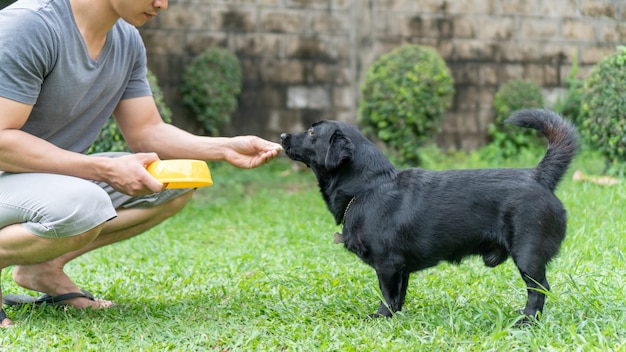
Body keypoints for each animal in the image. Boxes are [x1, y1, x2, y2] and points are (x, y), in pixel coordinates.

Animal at [280, 108, 576, 324]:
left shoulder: (386, 264)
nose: (282, 135)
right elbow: (398, 296)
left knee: (539, 289)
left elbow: (386, 294)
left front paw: (380, 317)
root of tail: (539, 177)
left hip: (528, 255)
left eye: (311, 131)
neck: (368, 187)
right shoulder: (399, 268)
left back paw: (528, 320)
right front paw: (395, 316)